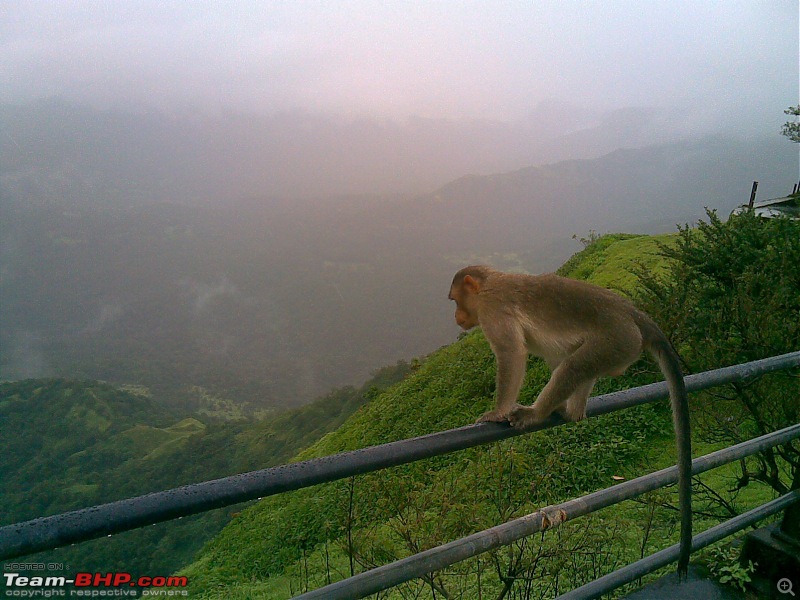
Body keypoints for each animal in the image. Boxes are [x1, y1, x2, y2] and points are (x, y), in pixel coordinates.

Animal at [450, 264, 692, 576]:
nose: (457, 316)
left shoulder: (493, 309)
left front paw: (498, 410)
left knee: (573, 365)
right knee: (574, 362)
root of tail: (634, 314)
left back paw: (537, 413)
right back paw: (571, 412)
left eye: (456, 300)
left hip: (616, 341)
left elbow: (511, 354)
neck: (489, 285)